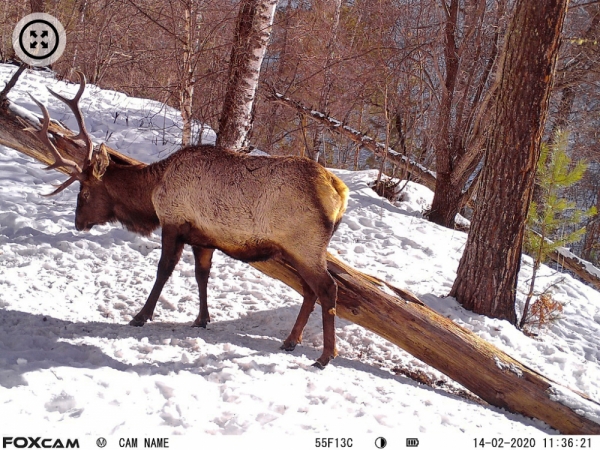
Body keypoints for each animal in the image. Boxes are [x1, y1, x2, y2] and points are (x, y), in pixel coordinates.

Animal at [27, 74, 346, 368]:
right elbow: (201, 275)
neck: (152, 192)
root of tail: (339, 191)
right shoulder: (203, 238)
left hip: (305, 245)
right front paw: (202, 318)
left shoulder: (173, 223)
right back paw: (291, 340)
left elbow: (163, 270)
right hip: (297, 251)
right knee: (310, 290)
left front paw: (141, 315)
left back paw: (325, 355)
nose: (78, 223)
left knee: (328, 288)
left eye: (84, 193)